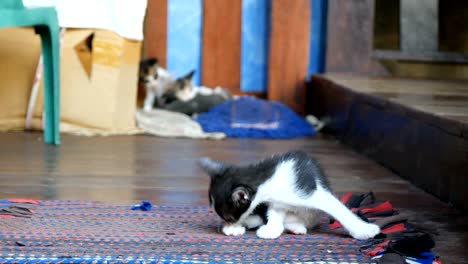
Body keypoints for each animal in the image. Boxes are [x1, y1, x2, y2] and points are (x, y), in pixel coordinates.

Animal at [199, 151, 382, 239]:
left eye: (229, 217)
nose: (228, 223)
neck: (268, 178)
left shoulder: (310, 190)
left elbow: (338, 209)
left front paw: (364, 230)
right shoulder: (277, 202)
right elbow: (275, 214)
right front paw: (271, 229)